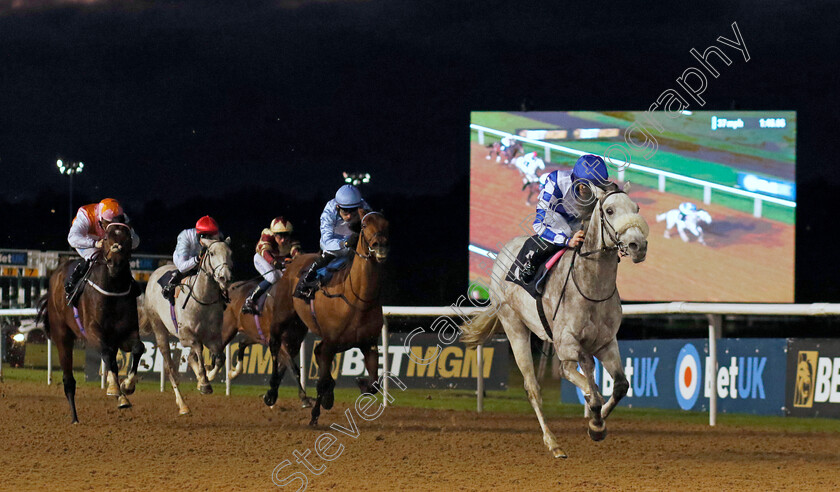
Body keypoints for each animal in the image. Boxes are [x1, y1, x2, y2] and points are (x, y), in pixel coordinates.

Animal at [37, 223, 144, 422]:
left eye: (127, 238)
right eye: (107, 237)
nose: (115, 263)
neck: (113, 289)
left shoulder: (127, 332)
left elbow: (137, 348)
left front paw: (127, 386)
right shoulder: (93, 331)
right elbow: (107, 354)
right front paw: (115, 388)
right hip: (62, 336)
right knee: (69, 379)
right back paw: (74, 418)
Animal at [141, 238, 233, 416]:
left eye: (230, 253)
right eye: (212, 253)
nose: (225, 277)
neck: (202, 300)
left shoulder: (213, 337)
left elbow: (220, 358)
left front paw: (207, 377)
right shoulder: (186, 336)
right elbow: (198, 350)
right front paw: (204, 383)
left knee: (187, 359)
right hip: (159, 328)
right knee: (170, 369)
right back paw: (183, 404)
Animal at [221, 278, 314, 406]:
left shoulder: (295, 344)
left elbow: (282, 369)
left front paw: (270, 395)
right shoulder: (280, 342)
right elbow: (293, 368)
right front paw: (304, 397)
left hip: (256, 334)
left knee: (242, 342)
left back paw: (235, 372)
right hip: (227, 330)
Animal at [268, 211, 388, 426]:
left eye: (387, 224)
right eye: (365, 225)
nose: (380, 246)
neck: (358, 298)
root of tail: (293, 262)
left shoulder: (369, 343)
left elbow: (374, 383)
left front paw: (359, 382)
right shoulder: (331, 342)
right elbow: (323, 380)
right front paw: (315, 414)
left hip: (299, 327)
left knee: (300, 350)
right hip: (282, 316)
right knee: (274, 345)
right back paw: (271, 392)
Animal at [460, 183, 648, 460]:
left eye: (636, 208)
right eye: (610, 210)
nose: (638, 245)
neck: (592, 287)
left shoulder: (606, 343)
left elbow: (620, 386)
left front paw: (598, 422)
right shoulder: (567, 347)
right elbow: (588, 389)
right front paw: (595, 422)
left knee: (589, 374)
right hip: (514, 326)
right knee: (533, 387)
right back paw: (553, 443)